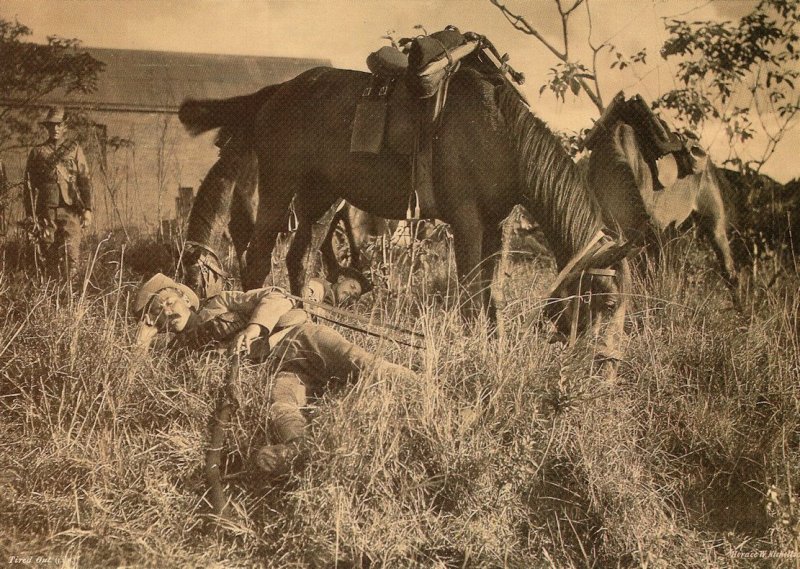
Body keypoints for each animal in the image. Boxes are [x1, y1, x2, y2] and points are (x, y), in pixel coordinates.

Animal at [181, 50, 636, 360]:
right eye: (608, 304)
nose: (608, 366)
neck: (501, 135)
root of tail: (278, 92)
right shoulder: (467, 221)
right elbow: (471, 293)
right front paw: (472, 350)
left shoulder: (499, 224)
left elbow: (494, 292)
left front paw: (495, 347)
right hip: (280, 186)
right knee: (258, 256)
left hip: (323, 196)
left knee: (300, 256)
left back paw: (308, 321)